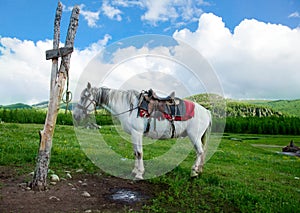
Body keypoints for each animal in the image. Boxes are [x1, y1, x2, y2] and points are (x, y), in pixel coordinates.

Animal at [73, 82, 212, 179]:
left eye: (83, 97)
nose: (75, 116)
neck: (130, 107)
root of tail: (206, 111)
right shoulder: (134, 134)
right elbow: (135, 152)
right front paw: (135, 170)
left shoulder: (137, 133)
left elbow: (139, 153)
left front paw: (139, 174)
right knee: (201, 152)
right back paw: (198, 170)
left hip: (194, 136)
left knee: (200, 152)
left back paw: (194, 172)